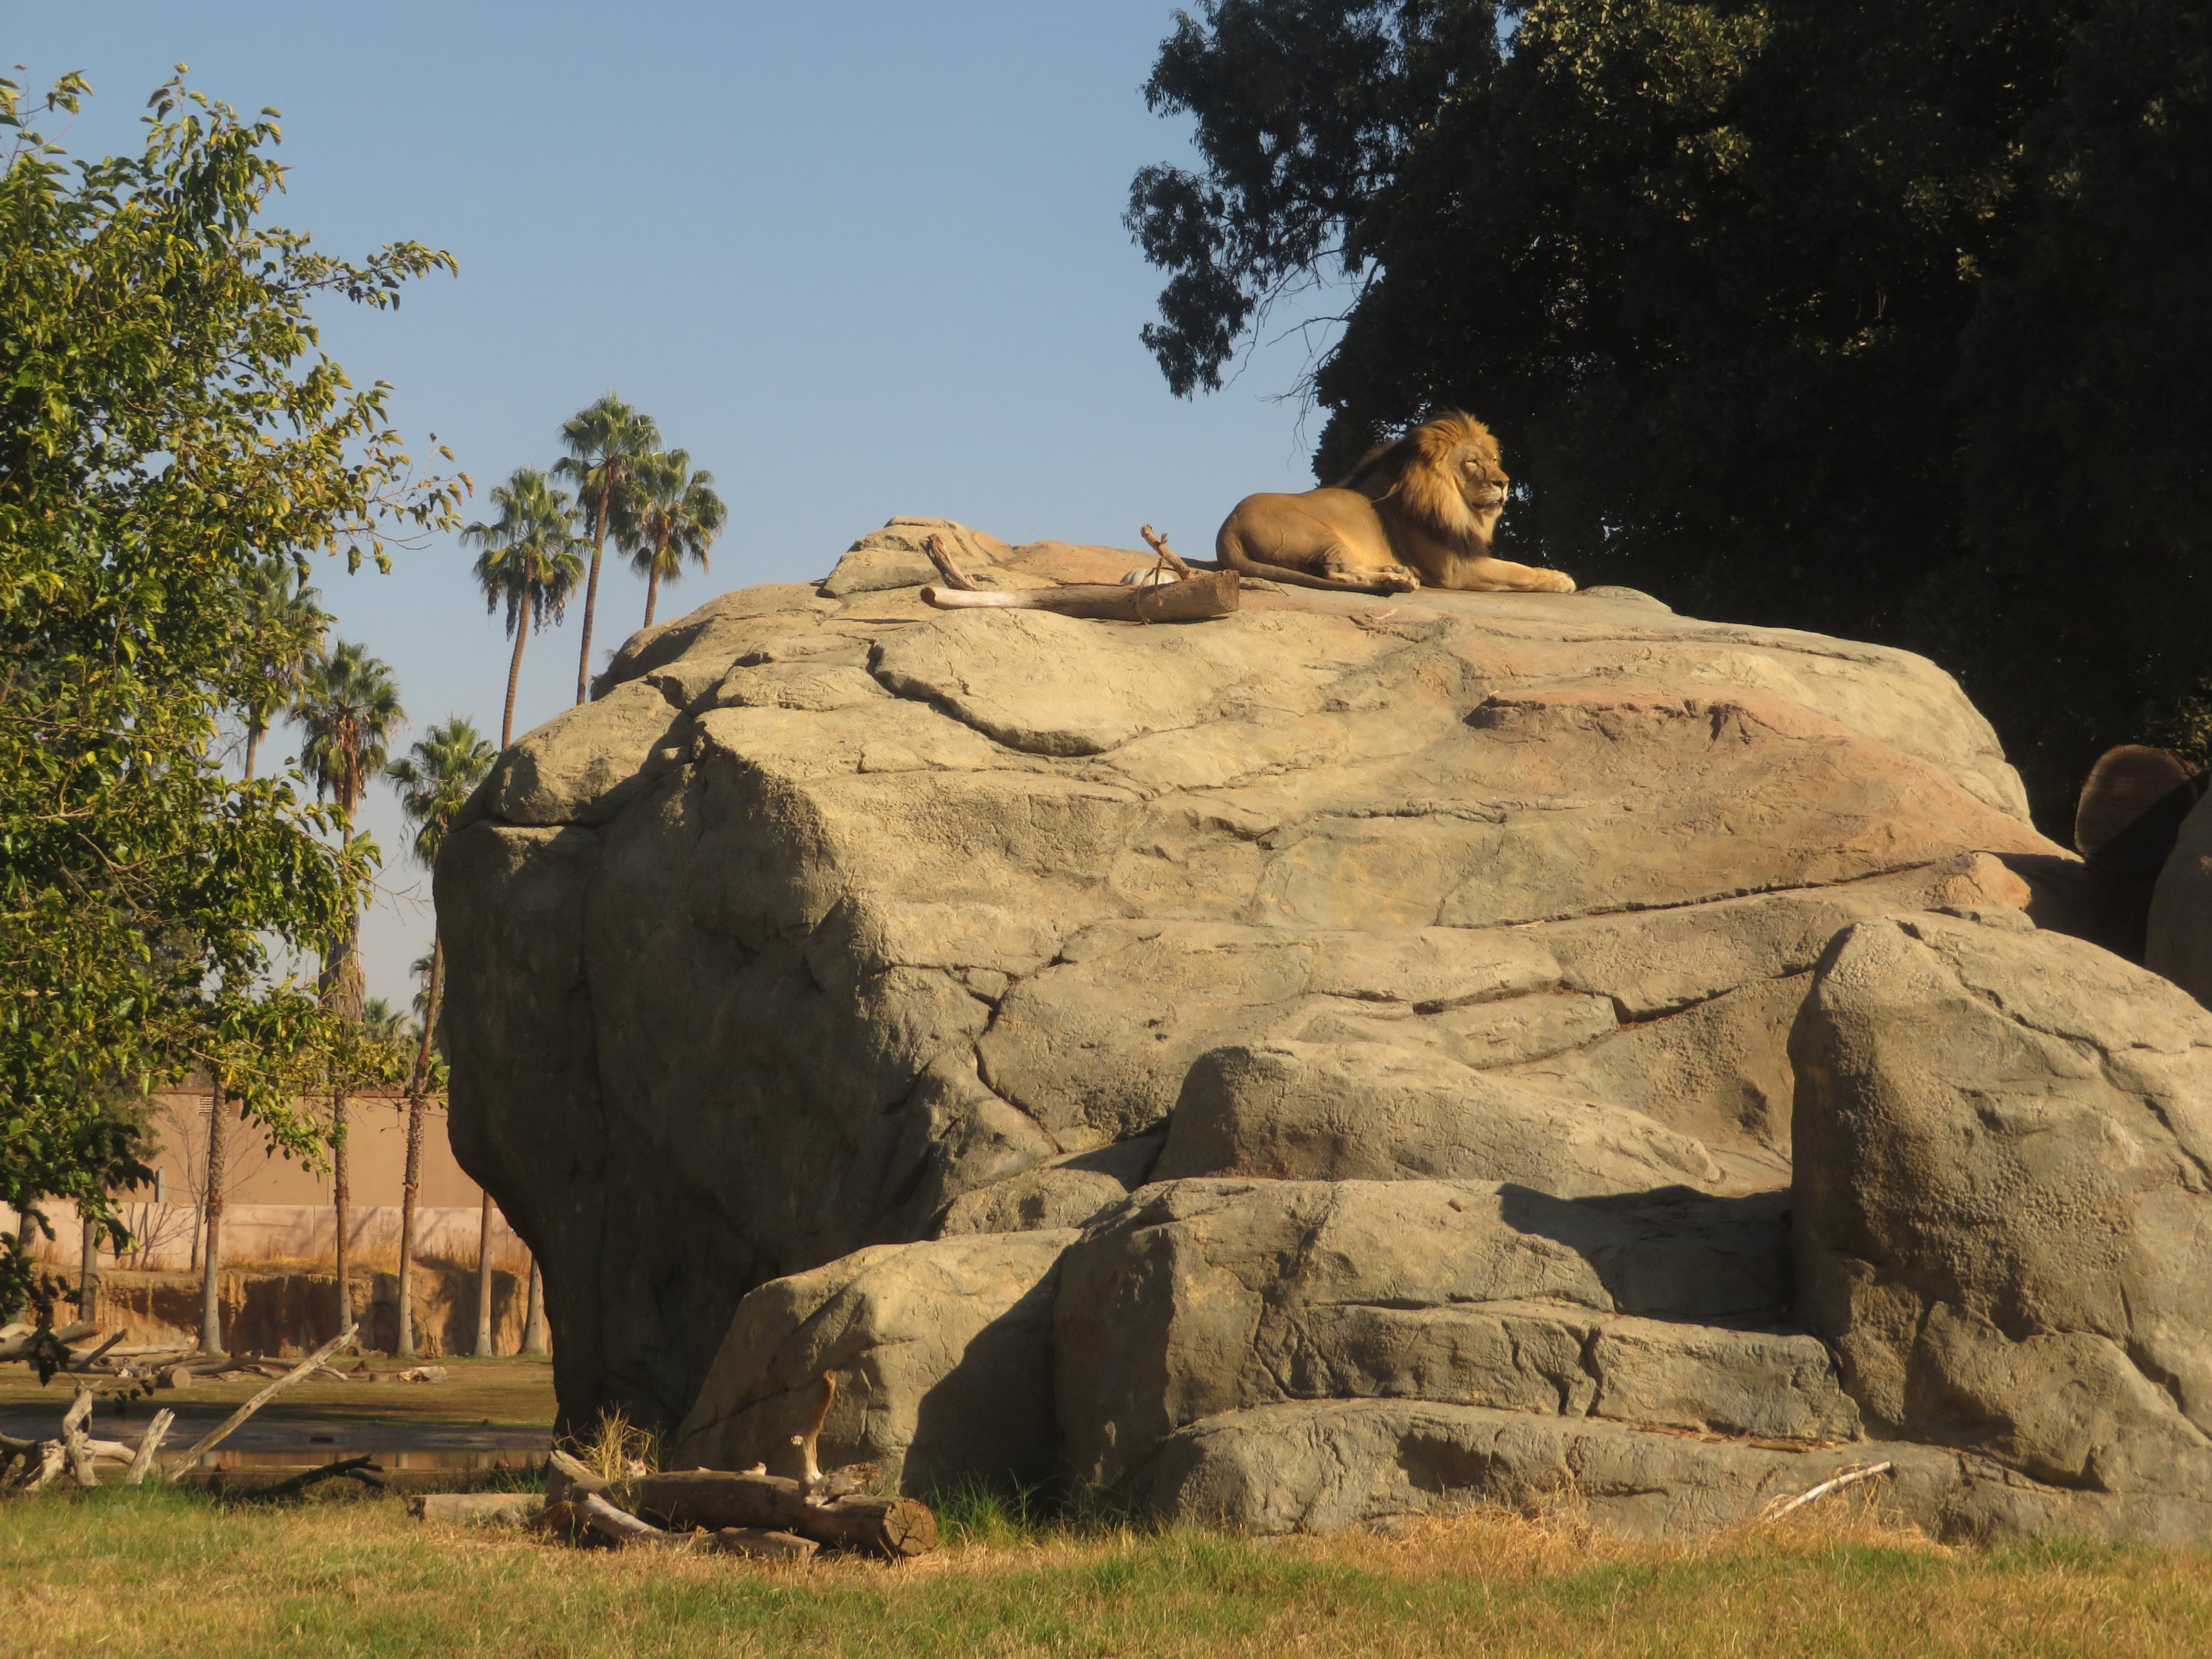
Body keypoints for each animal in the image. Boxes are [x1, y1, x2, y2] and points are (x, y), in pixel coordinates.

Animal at [1215, 411, 1575, 595]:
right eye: (1472, 462)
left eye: (1495, 459)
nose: (1505, 482)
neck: (1452, 502)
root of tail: (1227, 529)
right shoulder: (1455, 569)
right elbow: (1517, 570)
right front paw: (1561, 579)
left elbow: (1518, 568)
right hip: (1319, 536)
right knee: (1335, 574)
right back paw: (1396, 581)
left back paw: (1396, 571)